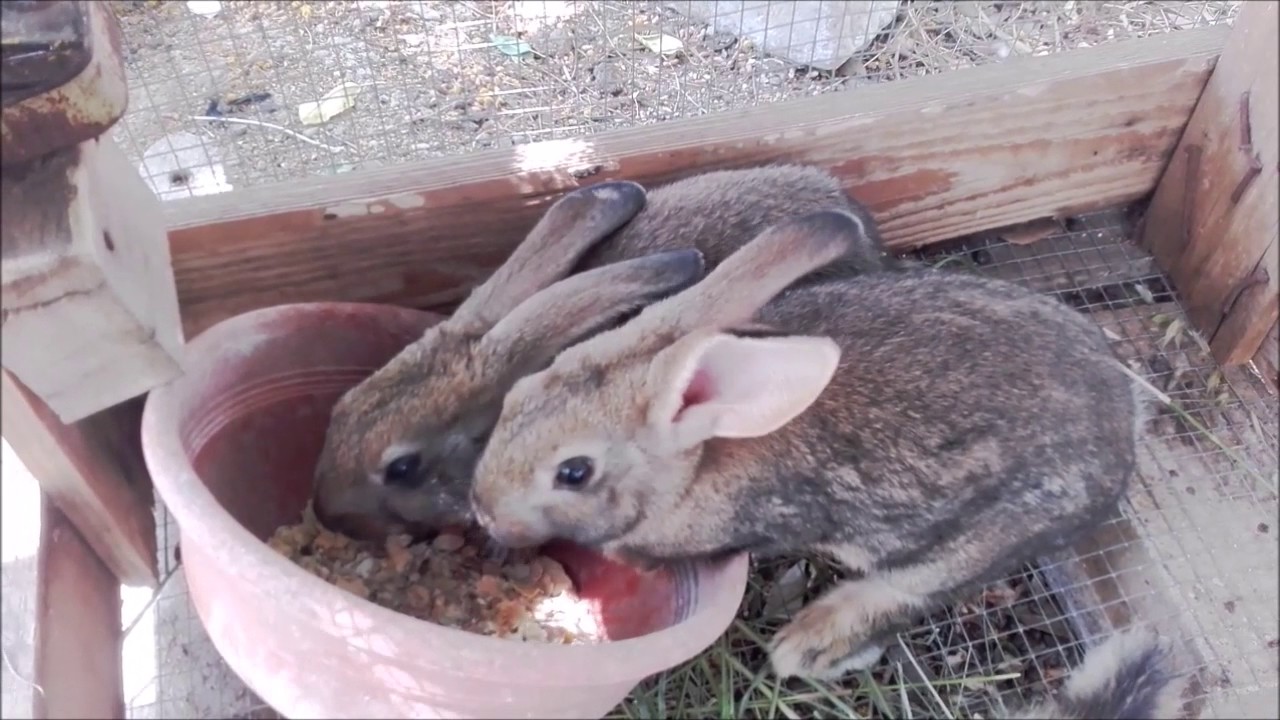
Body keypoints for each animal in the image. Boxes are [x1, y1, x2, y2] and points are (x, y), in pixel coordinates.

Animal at [468, 207, 1146, 684]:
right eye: (520, 393)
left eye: (574, 472)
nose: (481, 508)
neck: (697, 459)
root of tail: (1122, 430)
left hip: (973, 545)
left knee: (903, 594)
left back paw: (807, 646)